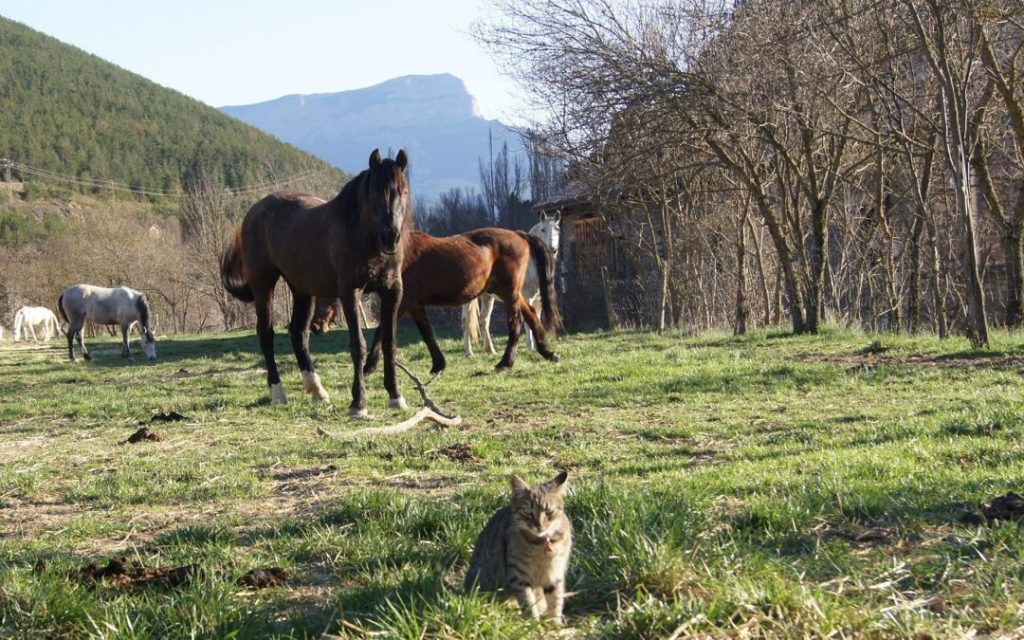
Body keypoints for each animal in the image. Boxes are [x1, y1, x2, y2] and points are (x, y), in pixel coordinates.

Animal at [220, 149, 411, 419]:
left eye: (403, 192)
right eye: (375, 193)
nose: (391, 237)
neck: (364, 236)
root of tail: (255, 211)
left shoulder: (392, 291)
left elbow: (389, 343)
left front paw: (395, 396)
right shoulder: (350, 292)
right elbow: (358, 345)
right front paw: (358, 404)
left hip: (302, 289)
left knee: (298, 333)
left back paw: (317, 390)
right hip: (263, 285)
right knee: (266, 334)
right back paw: (278, 393)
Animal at [311, 227, 561, 372]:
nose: (315, 326)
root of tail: (519, 234)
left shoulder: (402, 304)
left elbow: (382, 331)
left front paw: (368, 367)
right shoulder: (415, 306)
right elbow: (427, 334)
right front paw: (438, 364)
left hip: (508, 292)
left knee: (516, 323)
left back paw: (505, 363)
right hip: (509, 293)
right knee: (531, 314)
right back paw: (547, 352)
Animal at [462, 212, 561, 354]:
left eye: (557, 229)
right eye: (543, 229)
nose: (552, 250)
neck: (531, 265)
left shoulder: (538, 299)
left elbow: (536, 318)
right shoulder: (527, 298)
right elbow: (528, 321)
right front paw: (530, 347)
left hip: (487, 297)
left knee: (484, 320)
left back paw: (490, 350)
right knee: (466, 320)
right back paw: (469, 352)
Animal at [466, 468, 573, 622]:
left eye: (548, 512)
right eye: (529, 513)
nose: (539, 525)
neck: (541, 544)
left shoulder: (555, 574)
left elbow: (555, 602)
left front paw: (554, 624)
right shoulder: (518, 576)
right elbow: (528, 602)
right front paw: (534, 623)